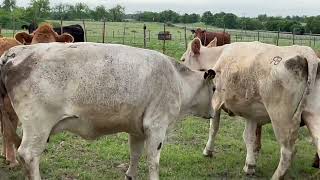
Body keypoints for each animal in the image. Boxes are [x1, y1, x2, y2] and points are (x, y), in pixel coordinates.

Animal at [0, 42, 218, 180]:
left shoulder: (137, 129)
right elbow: (153, 162)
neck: (178, 81)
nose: (213, 112)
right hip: (38, 126)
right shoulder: (156, 126)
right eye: (214, 88)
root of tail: (14, 53)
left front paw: (130, 175)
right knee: (29, 155)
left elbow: (135, 155)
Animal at [181, 38, 318, 179]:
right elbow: (249, 136)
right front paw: (250, 165)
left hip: (281, 118)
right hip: (312, 116)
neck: (217, 57)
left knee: (288, 151)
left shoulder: (215, 102)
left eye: (183, 59)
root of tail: (306, 52)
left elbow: (213, 128)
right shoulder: (252, 112)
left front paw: (207, 151)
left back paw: (276, 176)